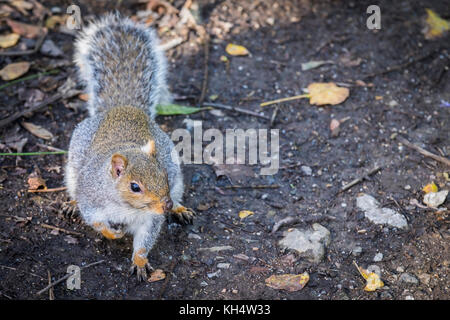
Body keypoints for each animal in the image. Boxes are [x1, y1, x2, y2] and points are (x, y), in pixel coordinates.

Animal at [65, 13, 195, 282]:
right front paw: (113, 233)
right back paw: (71, 203)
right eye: (135, 187)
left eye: (163, 174)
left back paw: (179, 207)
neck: (126, 208)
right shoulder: (92, 202)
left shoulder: (151, 218)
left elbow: (145, 240)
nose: (165, 205)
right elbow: (96, 222)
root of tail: (124, 107)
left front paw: (140, 260)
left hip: (177, 177)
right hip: (73, 168)